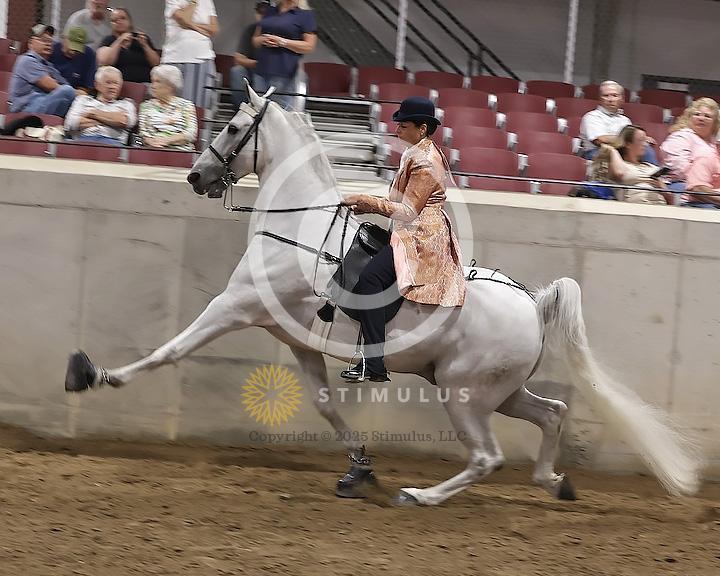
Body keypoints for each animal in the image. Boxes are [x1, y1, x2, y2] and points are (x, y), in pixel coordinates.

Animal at [65, 84, 702, 505]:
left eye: (230, 127)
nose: (196, 177)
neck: (294, 225)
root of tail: (532, 301)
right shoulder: (296, 341)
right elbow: (325, 405)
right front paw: (359, 469)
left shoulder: (235, 307)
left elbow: (170, 349)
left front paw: (95, 374)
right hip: (497, 390)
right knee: (553, 413)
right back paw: (555, 481)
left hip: (464, 394)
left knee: (488, 456)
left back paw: (422, 495)